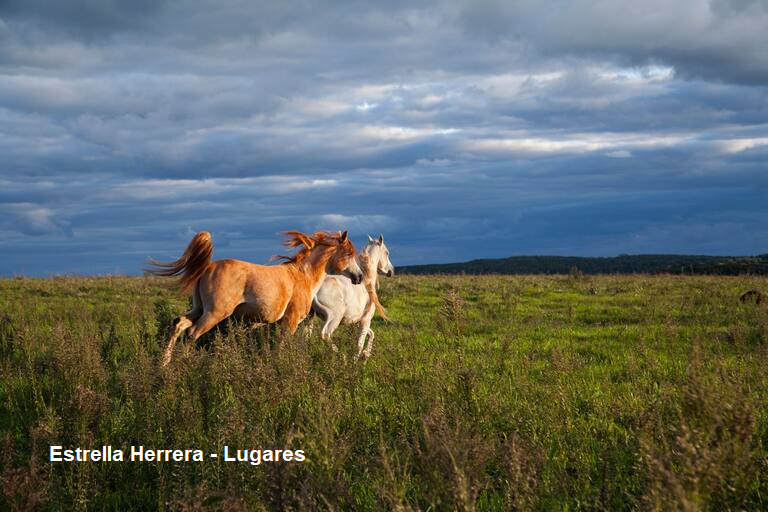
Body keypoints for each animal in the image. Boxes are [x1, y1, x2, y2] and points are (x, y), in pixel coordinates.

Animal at [146, 230, 364, 367]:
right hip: (215, 313)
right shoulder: (290, 321)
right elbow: (281, 347)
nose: (359, 277)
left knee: (178, 324)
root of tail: (207, 267)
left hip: (199, 309)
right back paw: (185, 365)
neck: (303, 276)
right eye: (348, 254)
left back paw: (164, 365)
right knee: (192, 333)